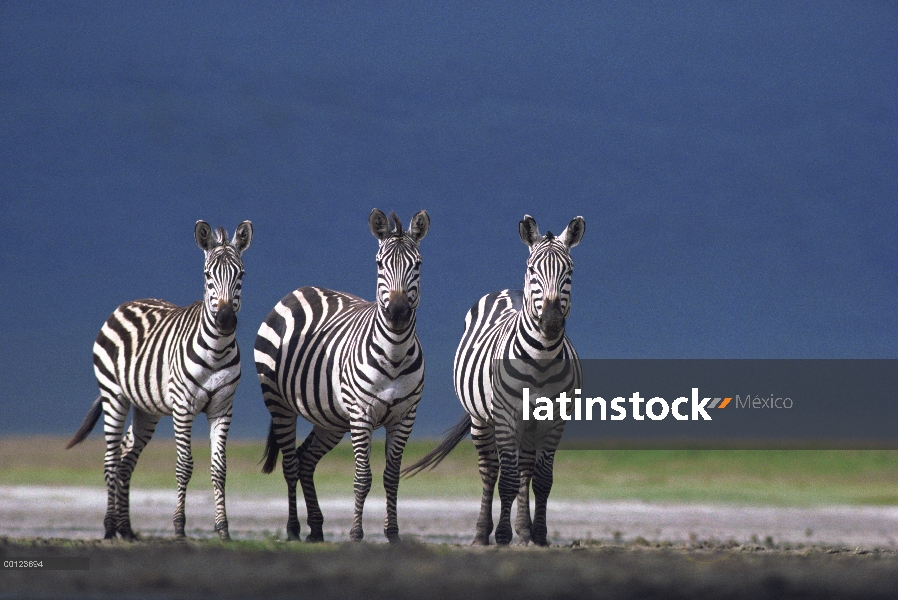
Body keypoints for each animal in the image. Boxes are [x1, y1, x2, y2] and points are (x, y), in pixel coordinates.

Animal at [67, 221, 252, 544]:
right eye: (207, 276)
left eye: (240, 274)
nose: (226, 320)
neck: (217, 350)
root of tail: (125, 304)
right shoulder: (183, 408)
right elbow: (184, 466)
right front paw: (178, 527)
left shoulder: (222, 408)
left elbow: (219, 470)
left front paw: (223, 529)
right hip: (114, 395)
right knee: (111, 461)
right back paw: (109, 527)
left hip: (146, 409)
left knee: (126, 460)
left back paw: (126, 529)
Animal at [254, 209, 428, 540]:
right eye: (379, 263)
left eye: (418, 264)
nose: (398, 312)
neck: (395, 354)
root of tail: (298, 291)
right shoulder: (361, 414)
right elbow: (362, 478)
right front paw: (356, 534)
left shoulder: (406, 416)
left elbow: (392, 477)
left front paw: (393, 534)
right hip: (279, 403)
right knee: (290, 464)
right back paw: (294, 529)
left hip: (330, 418)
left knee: (305, 460)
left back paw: (317, 528)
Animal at [402, 213, 584, 548]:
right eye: (532, 270)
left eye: (569, 271)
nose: (551, 323)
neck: (541, 359)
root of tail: (504, 290)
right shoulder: (506, 416)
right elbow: (507, 479)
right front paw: (501, 535)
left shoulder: (554, 421)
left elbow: (542, 480)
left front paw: (539, 535)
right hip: (482, 418)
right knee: (490, 471)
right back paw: (481, 534)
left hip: (528, 424)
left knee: (524, 469)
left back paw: (524, 531)